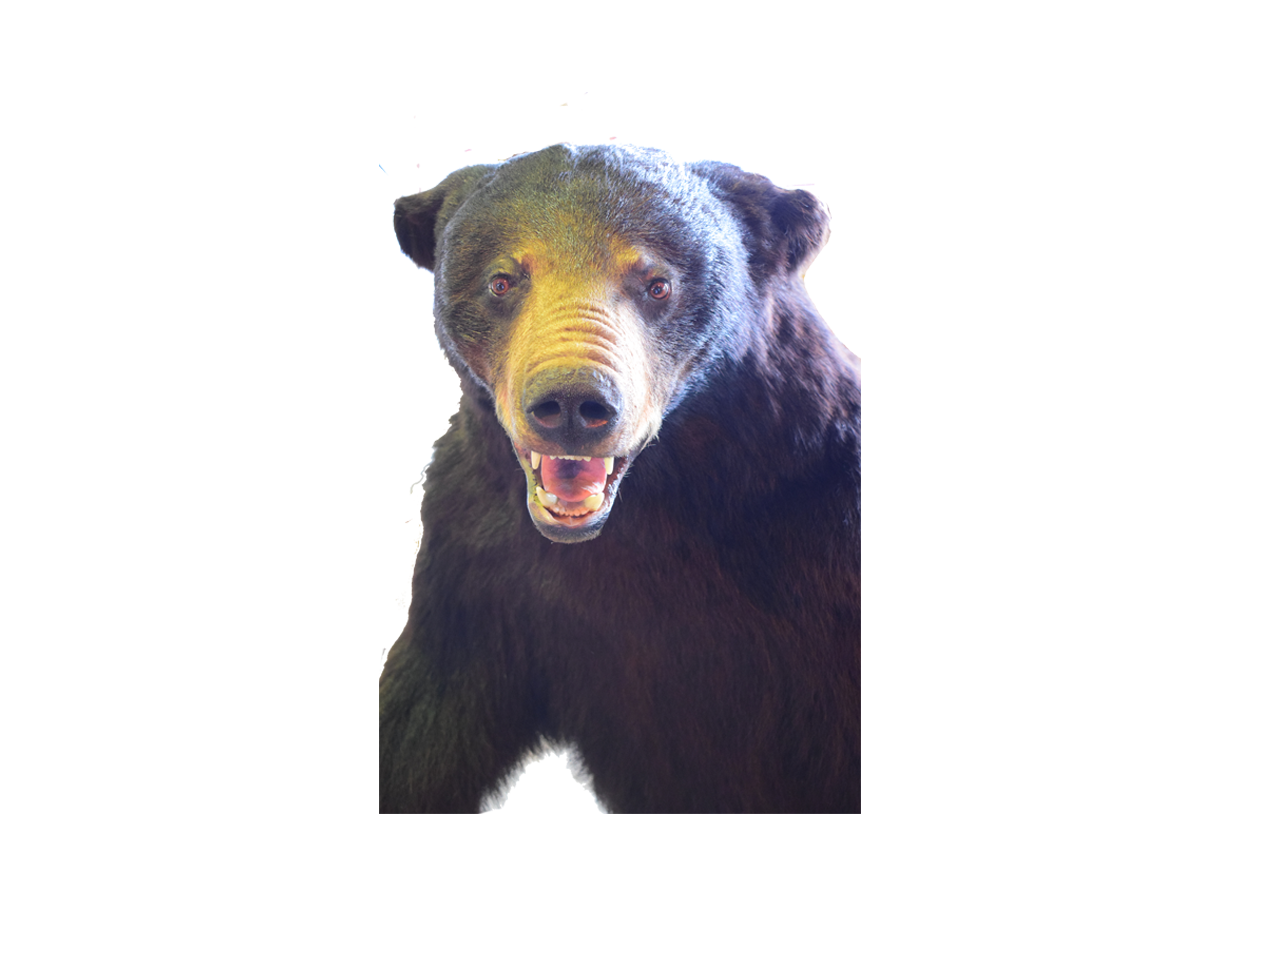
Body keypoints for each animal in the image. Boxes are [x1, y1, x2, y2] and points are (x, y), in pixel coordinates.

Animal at [380, 143, 860, 813]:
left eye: (656, 284)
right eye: (503, 280)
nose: (571, 403)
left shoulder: (820, 537)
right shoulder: (475, 558)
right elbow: (420, 725)